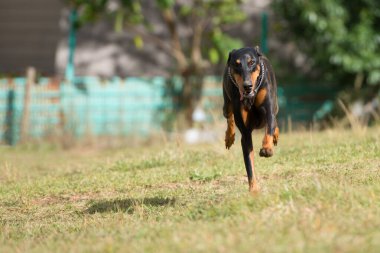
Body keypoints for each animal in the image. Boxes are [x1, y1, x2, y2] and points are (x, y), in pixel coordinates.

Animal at [223, 46, 280, 193]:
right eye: (236, 64)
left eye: (251, 62)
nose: (247, 85)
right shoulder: (246, 133)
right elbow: (249, 163)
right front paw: (254, 190)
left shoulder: (269, 108)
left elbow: (270, 125)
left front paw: (267, 149)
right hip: (226, 102)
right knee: (229, 116)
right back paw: (229, 137)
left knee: (274, 119)